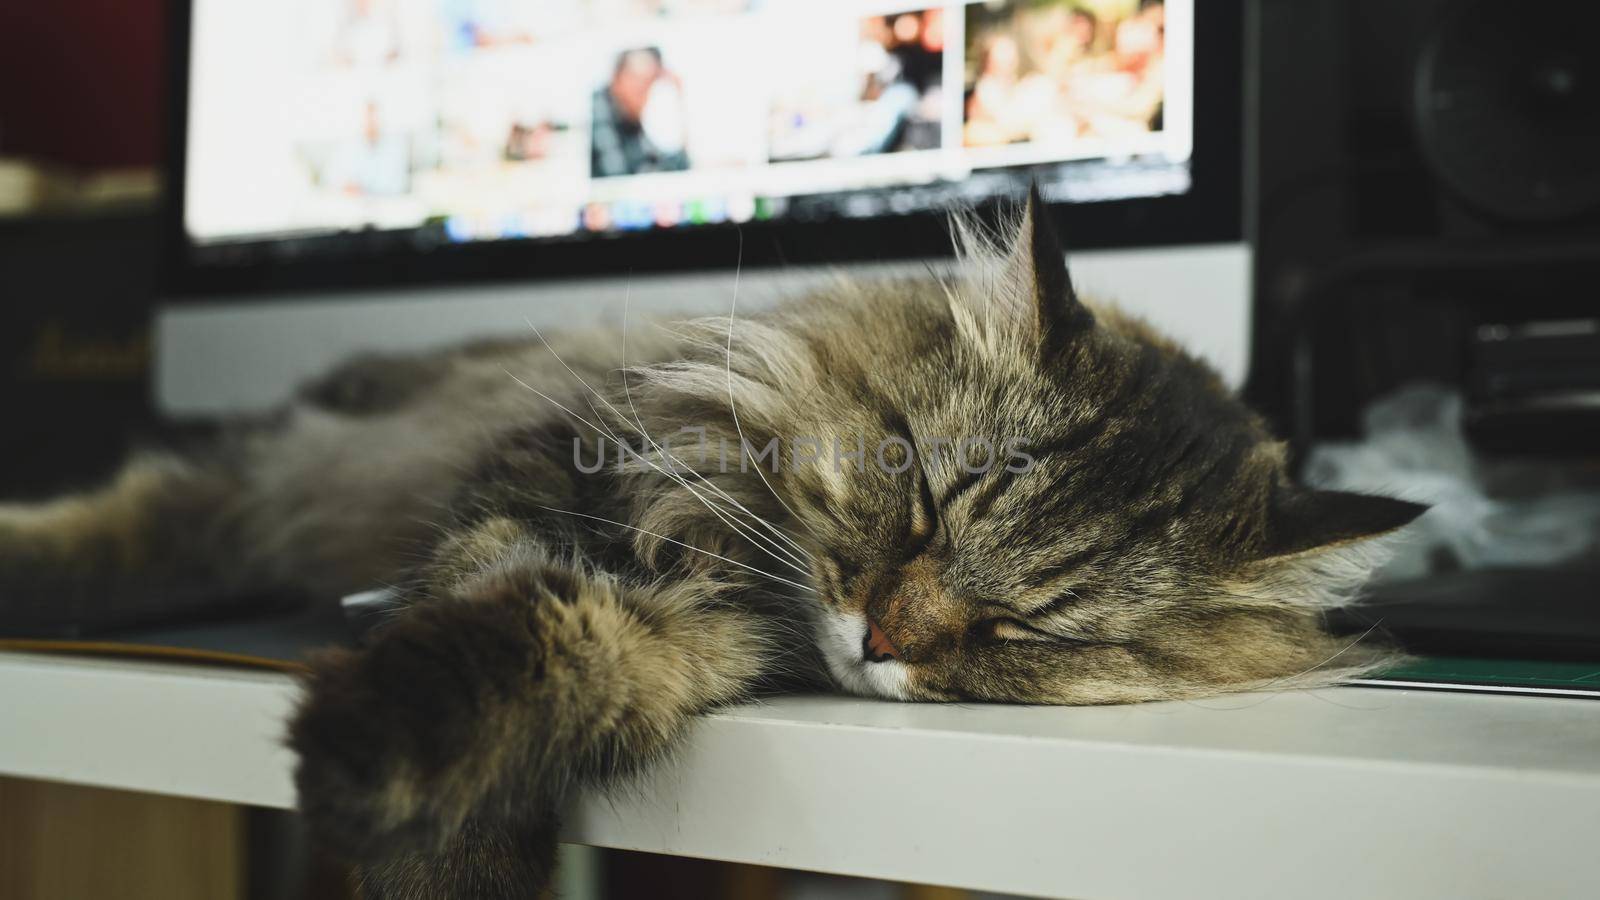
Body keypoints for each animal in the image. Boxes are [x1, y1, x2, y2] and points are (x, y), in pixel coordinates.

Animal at [0, 190, 1427, 896]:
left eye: (1023, 628)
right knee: (139, 515)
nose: (878, 639)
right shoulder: (539, 482)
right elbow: (491, 604)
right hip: (273, 468)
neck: (742, 574)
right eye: (922, 505)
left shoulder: (691, 637)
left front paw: (413, 802)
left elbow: (556, 657)